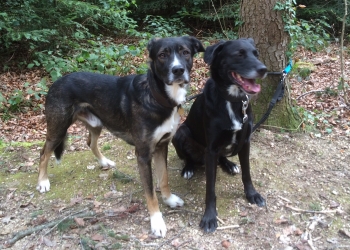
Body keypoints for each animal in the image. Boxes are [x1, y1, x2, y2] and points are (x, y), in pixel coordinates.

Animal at [36, 35, 204, 236]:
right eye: (162, 55)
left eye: (185, 52)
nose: (178, 70)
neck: (157, 97)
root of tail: (56, 82)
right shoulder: (143, 154)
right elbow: (150, 193)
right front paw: (157, 222)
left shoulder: (162, 146)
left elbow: (163, 179)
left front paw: (169, 200)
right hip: (58, 128)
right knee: (44, 153)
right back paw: (43, 182)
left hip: (96, 123)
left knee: (90, 142)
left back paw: (104, 162)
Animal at [172, 38, 268, 232]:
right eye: (239, 54)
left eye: (256, 54)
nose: (264, 69)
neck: (232, 100)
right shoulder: (211, 149)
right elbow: (210, 189)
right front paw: (209, 217)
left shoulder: (245, 141)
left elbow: (247, 173)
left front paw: (252, 194)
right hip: (181, 133)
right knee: (188, 157)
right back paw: (189, 168)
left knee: (223, 157)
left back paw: (229, 164)